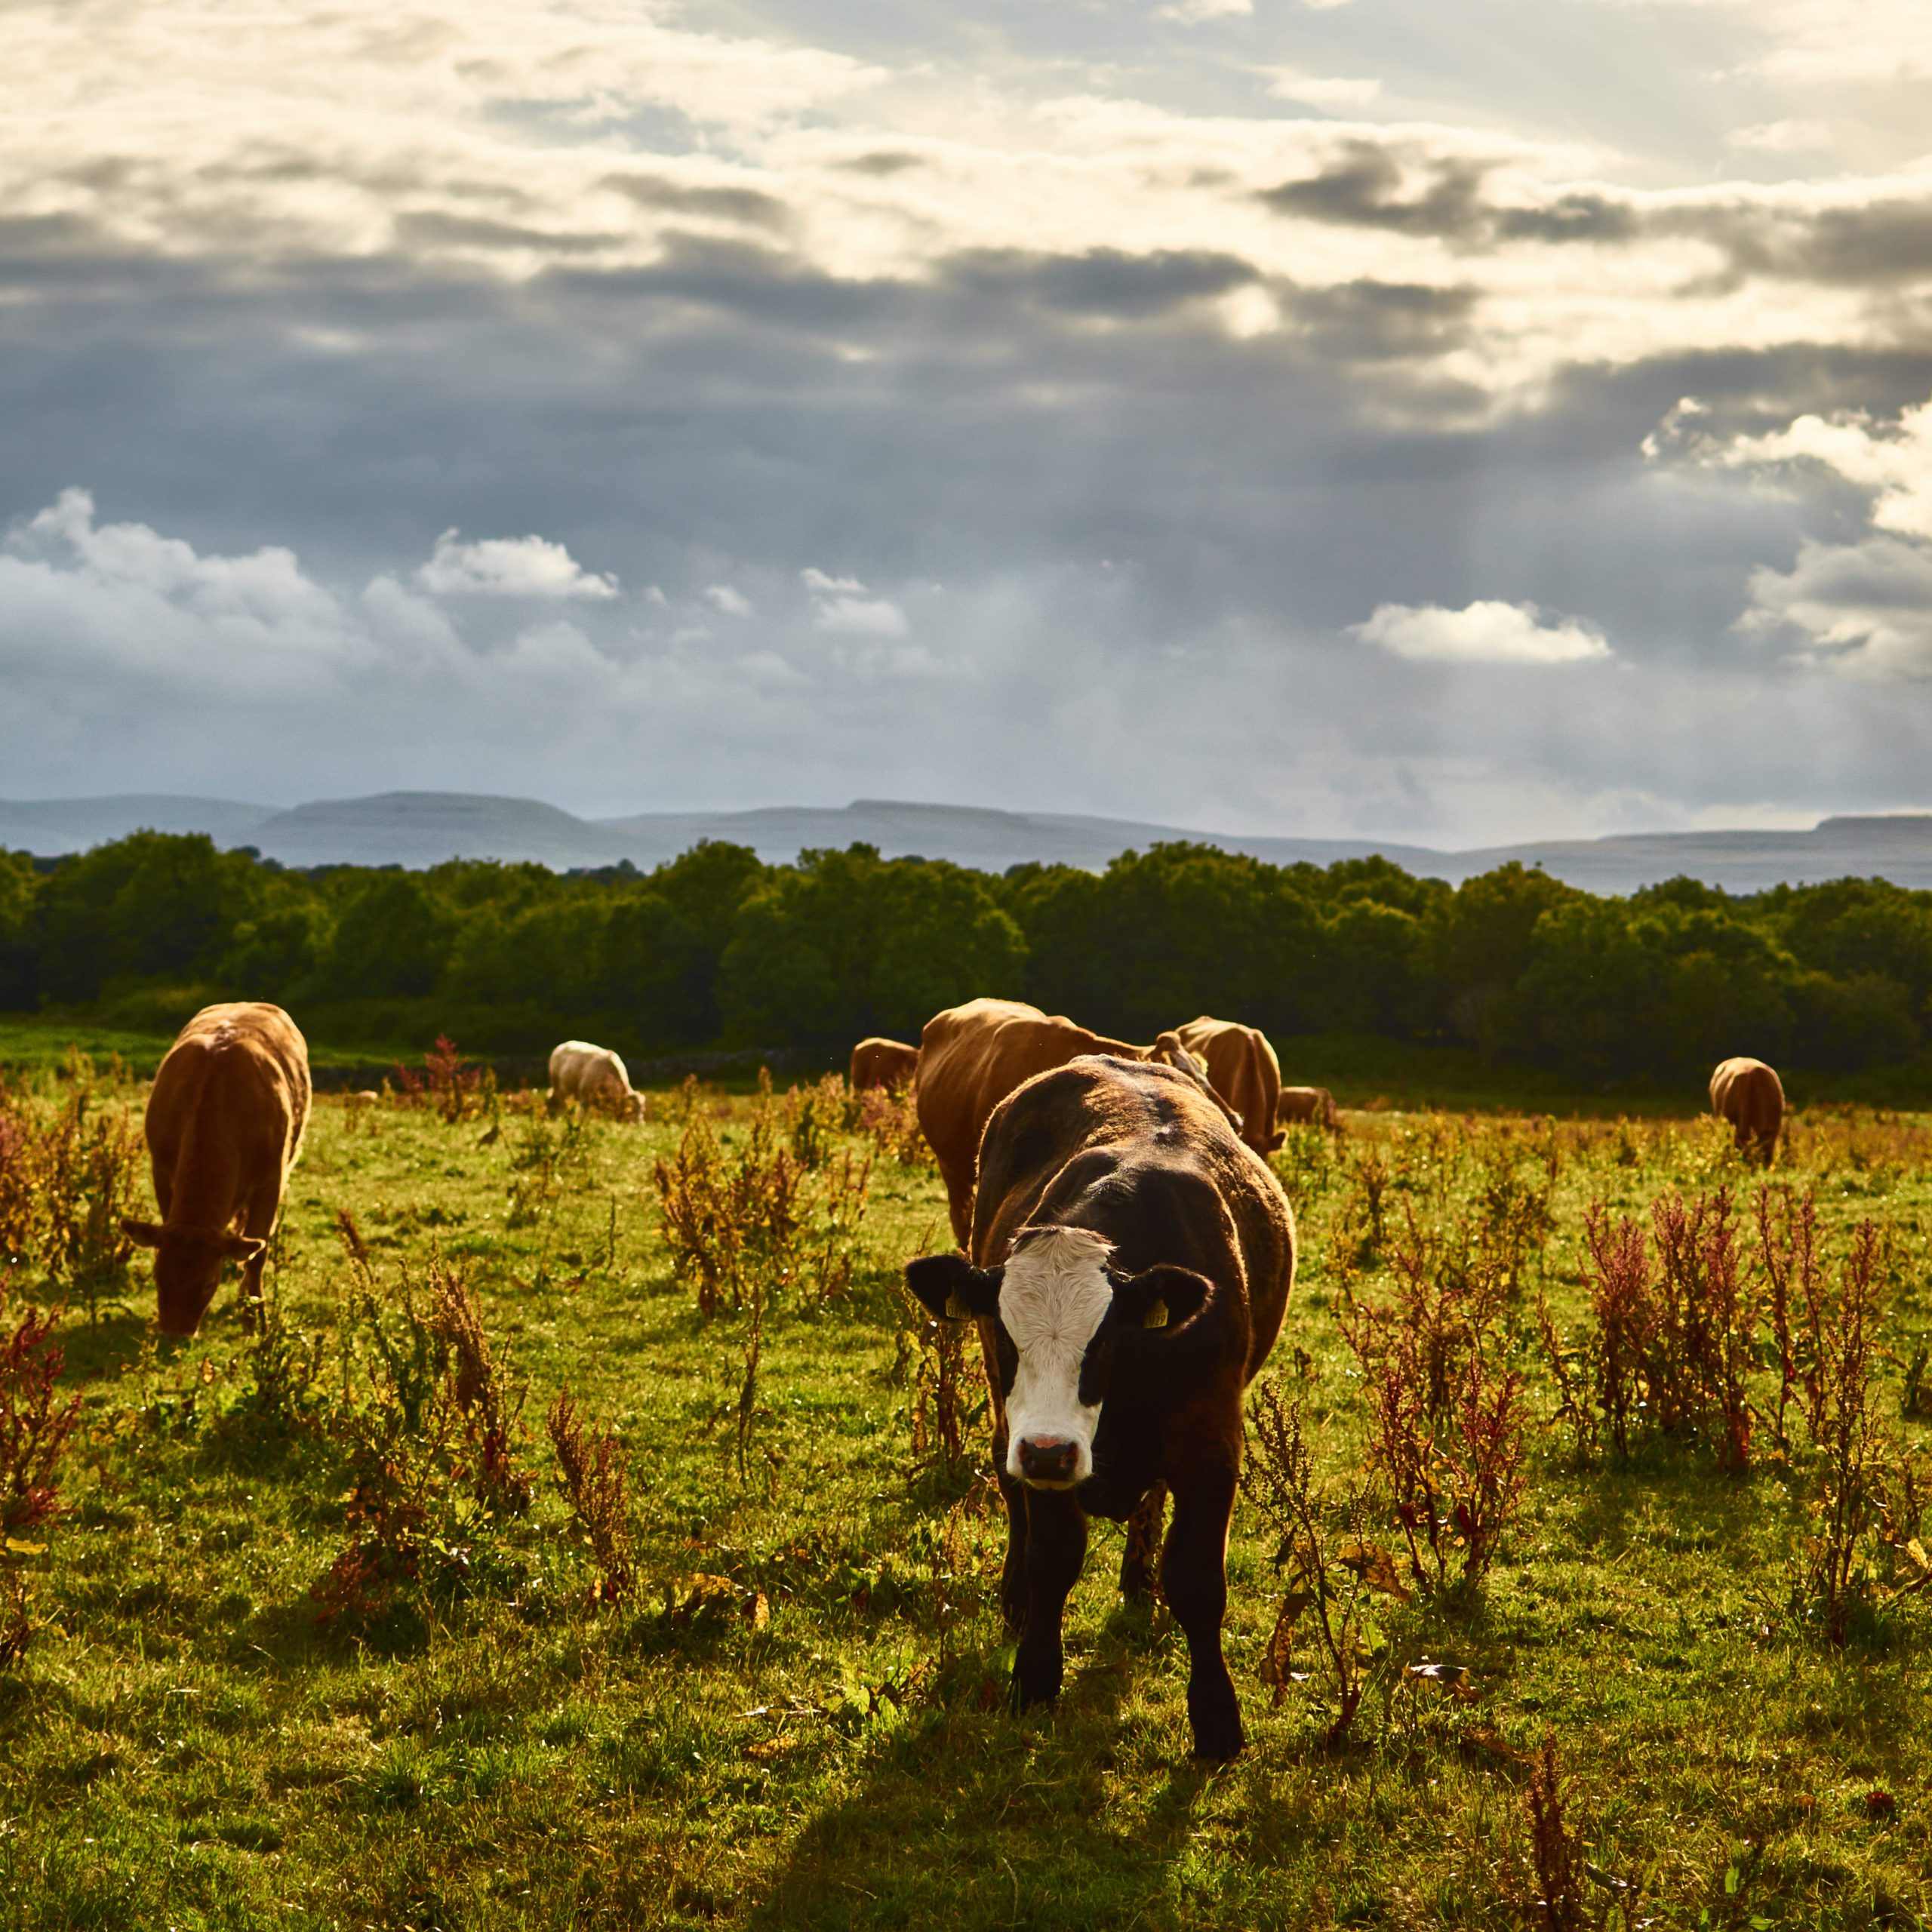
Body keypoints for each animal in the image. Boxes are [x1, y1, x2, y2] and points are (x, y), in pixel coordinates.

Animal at [120, 1002, 312, 1337]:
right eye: (158, 1276)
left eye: (210, 1282)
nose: (176, 1331)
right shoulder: (161, 1171)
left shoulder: (272, 1180)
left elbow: (258, 1253)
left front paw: (254, 1315)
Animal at [548, 1040, 646, 1121]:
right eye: (632, 1111)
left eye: (642, 1111)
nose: (640, 1125)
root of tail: (560, 1047)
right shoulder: (584, 1096)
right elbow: (581, 1115)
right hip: (558, 1088)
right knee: (562, 1105)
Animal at [906, 1054, 1296, 1761]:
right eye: (1006, 1335)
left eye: (1106, 1340)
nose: (1050, 1453)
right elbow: (1052, 1555)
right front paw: (1034, 1677)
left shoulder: (1212, 1443)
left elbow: (1197, 1579)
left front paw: (1217, 1721)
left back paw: (1140, 1581)